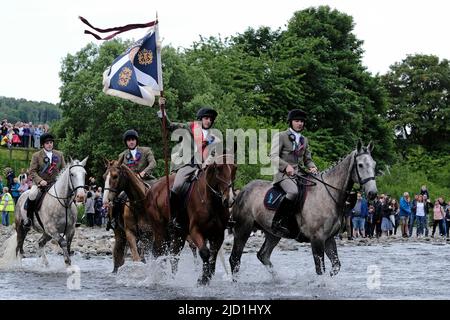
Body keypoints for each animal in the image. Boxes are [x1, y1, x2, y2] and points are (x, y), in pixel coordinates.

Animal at [146, 153, 237, 284]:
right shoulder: (195, 230)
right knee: (159, 252)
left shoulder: (218, 234)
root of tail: (152, 188)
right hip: (160, 230)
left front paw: (208, 275)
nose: (229, 200)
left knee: (174, 255)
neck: (211, 202)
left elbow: (213, 256)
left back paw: (173, 279)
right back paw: (159, 277)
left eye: (235, 168)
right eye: (219, 168)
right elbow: (205, 253)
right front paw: (203, 279)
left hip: (179, 233)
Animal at [230, 141, 378, 278]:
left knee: (263, 255)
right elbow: (320, 269)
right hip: (243, 229)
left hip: (273, 233)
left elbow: (336, 266)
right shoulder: (317, 239)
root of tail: (243, 190)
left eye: (374, 164)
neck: (327, 194)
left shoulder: (329, 238)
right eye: (360, 165)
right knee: (235, 259)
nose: (373, 193)